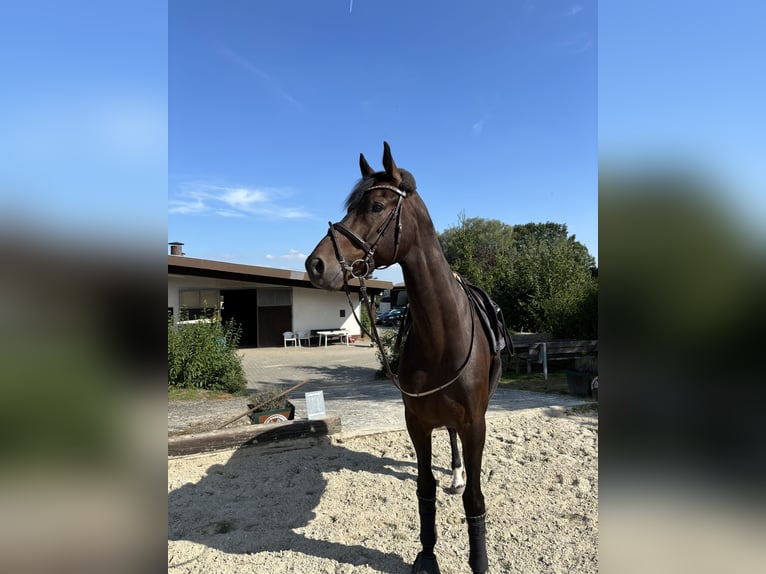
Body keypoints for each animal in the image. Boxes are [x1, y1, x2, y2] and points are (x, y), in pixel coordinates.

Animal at [305, 142, 507, 574]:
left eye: (377, 206)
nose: (315, 264)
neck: (442, 338)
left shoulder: (475, 423)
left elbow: (475, 500)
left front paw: (479, 561)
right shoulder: (417, 422)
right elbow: (424, 490)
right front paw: (427, 555)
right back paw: (454, 474)